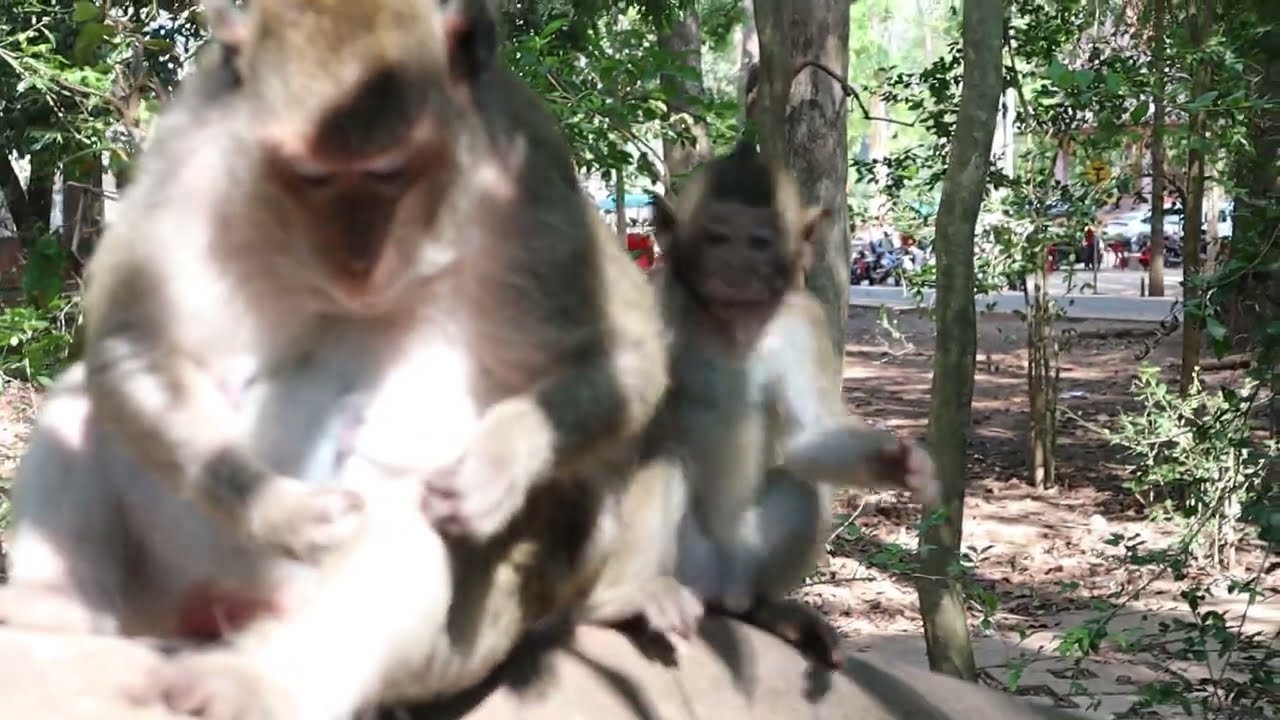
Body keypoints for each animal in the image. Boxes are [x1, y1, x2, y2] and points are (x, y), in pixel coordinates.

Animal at [646, 139, 941, 667]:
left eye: (759, 242)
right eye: (718, 237)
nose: (735, 267)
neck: (735, 322)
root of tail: (720, 587)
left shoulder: (803, 318)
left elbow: (809, 434)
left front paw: (901, 464)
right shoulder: (662, 301)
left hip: (744, 559)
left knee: (800, 486)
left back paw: (768, 611)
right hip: (690, 563)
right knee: (661, 462)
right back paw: (652, 591)